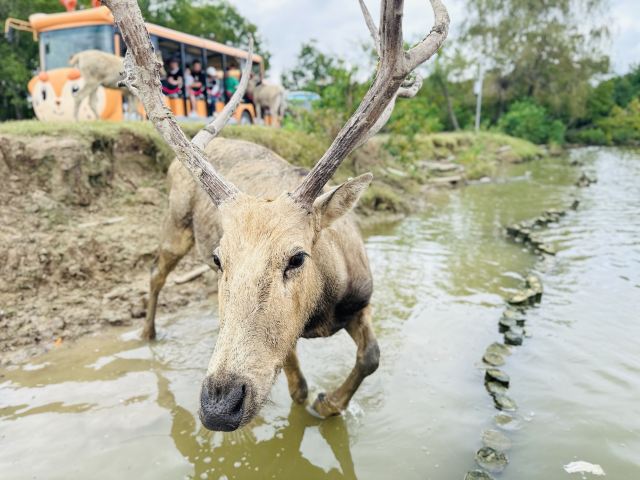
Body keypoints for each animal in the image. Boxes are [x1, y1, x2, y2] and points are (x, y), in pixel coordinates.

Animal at [104, 0, 449, 432]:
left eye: (297, 257)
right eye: (220, 258)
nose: (220, 403)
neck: (321, 312)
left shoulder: (363, 300)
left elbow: (371, 357)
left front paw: (330, 404)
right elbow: (298, 388)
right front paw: (318, 402)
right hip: (175, 222)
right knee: (155, 273)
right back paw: (148, 333)